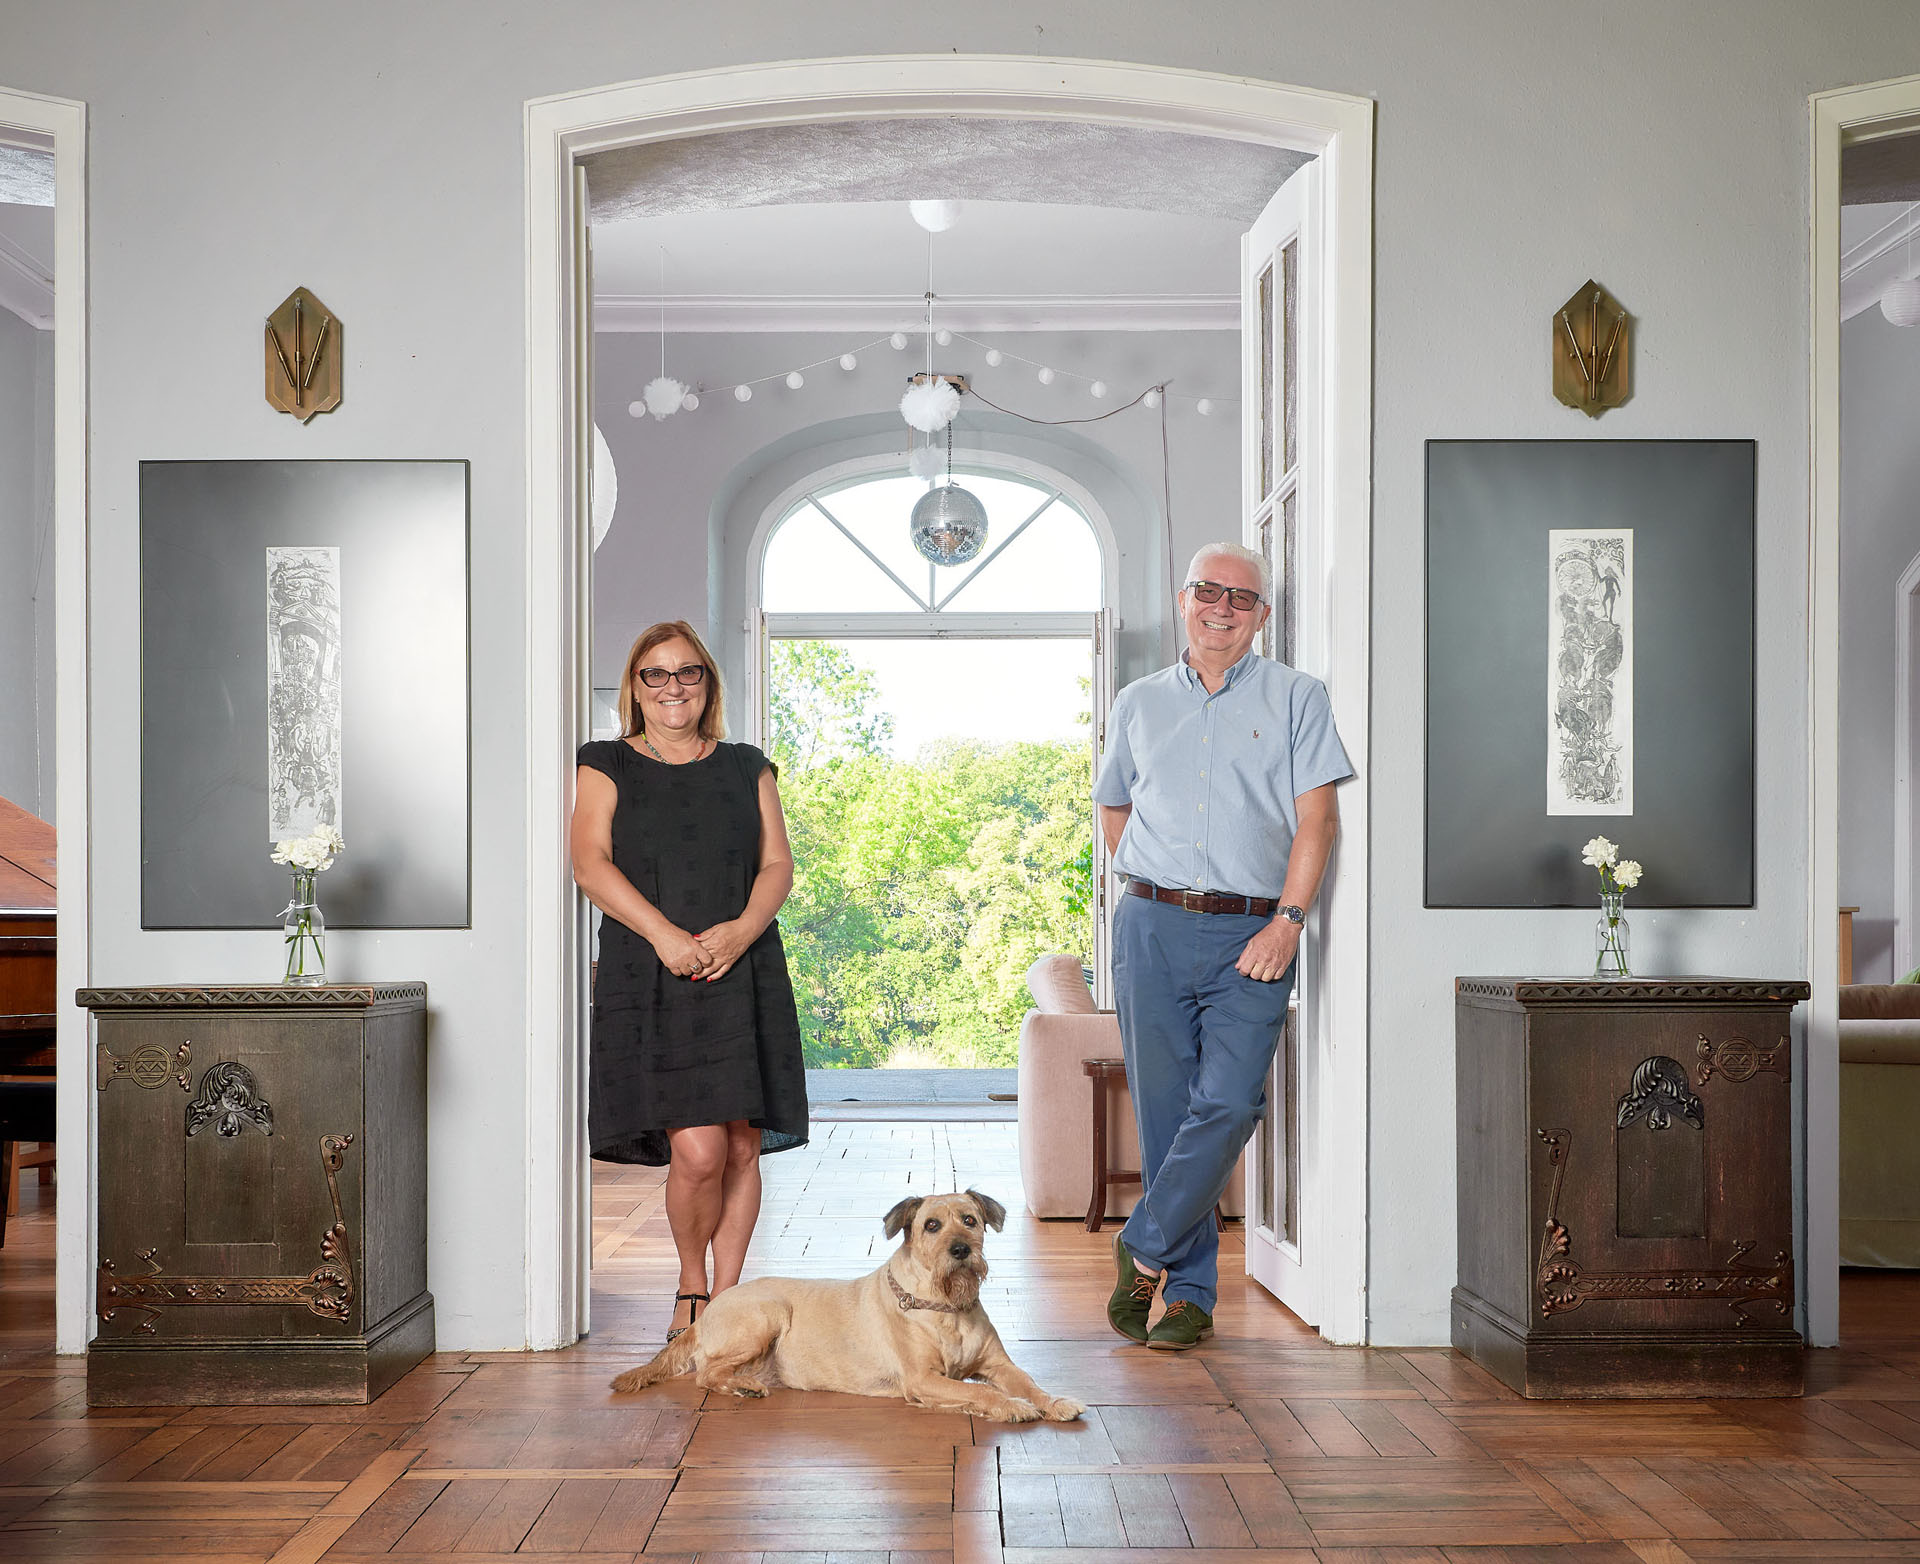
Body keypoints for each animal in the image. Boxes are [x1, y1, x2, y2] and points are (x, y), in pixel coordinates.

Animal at [614, 1189, 1098, 1427]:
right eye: (931, 1225)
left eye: (971, 1220)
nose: (961, 1251)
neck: (946, 1307)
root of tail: (707, 1312)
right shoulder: (923, 1379)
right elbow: (981, 1392)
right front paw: (1010, 1406)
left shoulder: (999, 1364)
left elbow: (1028, 1382)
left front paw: (1053, 1401)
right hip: (766, 1315)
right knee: (705, 1374)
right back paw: (742, 1387)